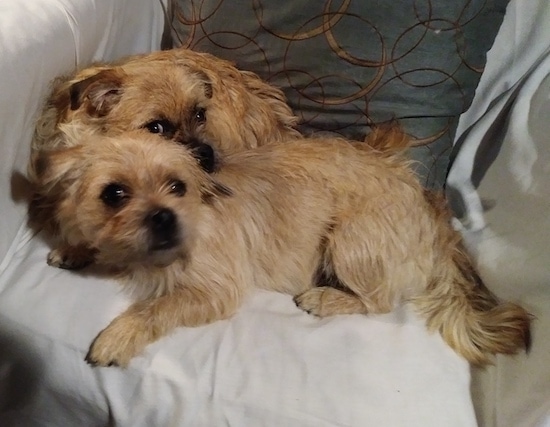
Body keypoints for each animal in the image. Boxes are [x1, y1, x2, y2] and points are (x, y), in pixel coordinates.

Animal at [28, 130, 532, 368]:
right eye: (114, 194)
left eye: (178, 187)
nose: (164, 217)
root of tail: (429, 209)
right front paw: (76, 248)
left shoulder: (215, 289)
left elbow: (154, 307)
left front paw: (118, 335)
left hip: (351, 239)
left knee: (379, 302)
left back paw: (326, 298)